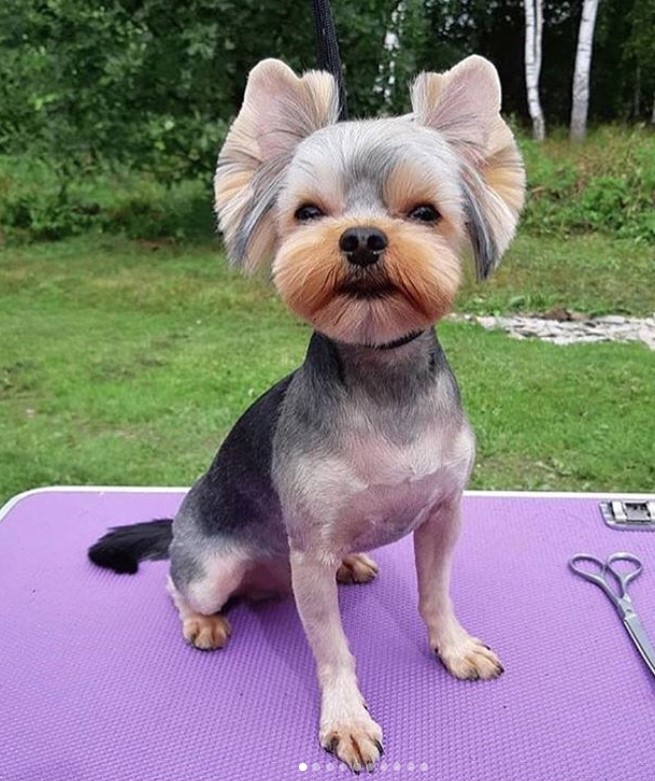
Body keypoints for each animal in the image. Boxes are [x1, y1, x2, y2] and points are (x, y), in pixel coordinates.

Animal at [89, 56, 524, 772]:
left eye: (425, 212)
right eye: (309, 212)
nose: (363, 238)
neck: (382, 384)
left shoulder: (441, 515)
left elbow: (435, 595)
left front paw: (454, 648)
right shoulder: (311, 553)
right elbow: (332, 648)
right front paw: (347, 718)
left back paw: (353, 564)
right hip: (214, 565)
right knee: (177, 586)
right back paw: (203, 620)